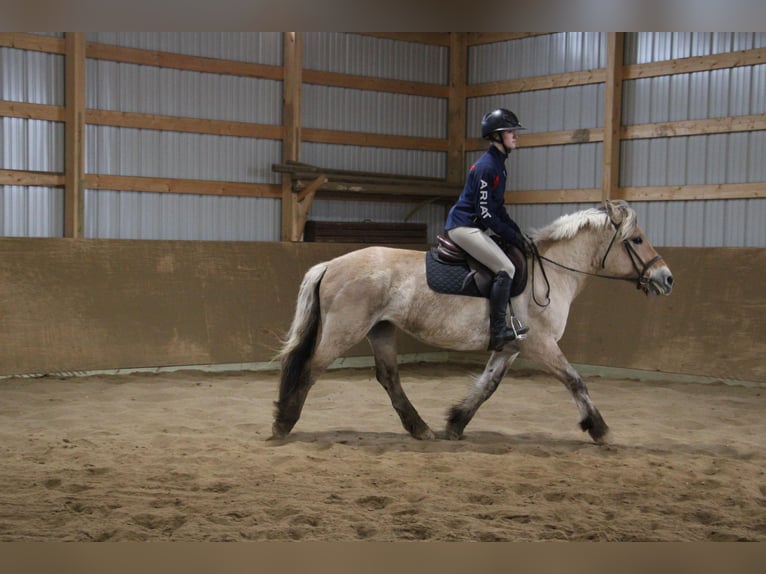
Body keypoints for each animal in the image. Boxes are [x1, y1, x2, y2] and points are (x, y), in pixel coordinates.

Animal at [272, 200, 676, 444]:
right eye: (636, 240)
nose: (666, 278)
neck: (552, 274)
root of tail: (331, 263)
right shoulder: (541, 344)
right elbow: (575, 380)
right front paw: (600, 429)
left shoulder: (512, 347)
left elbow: (487, 386)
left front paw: (456, 422)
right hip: (345, 330)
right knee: (311, 368)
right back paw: (283, 423)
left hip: (380, 330)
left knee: (389, 377)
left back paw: (420, 428)